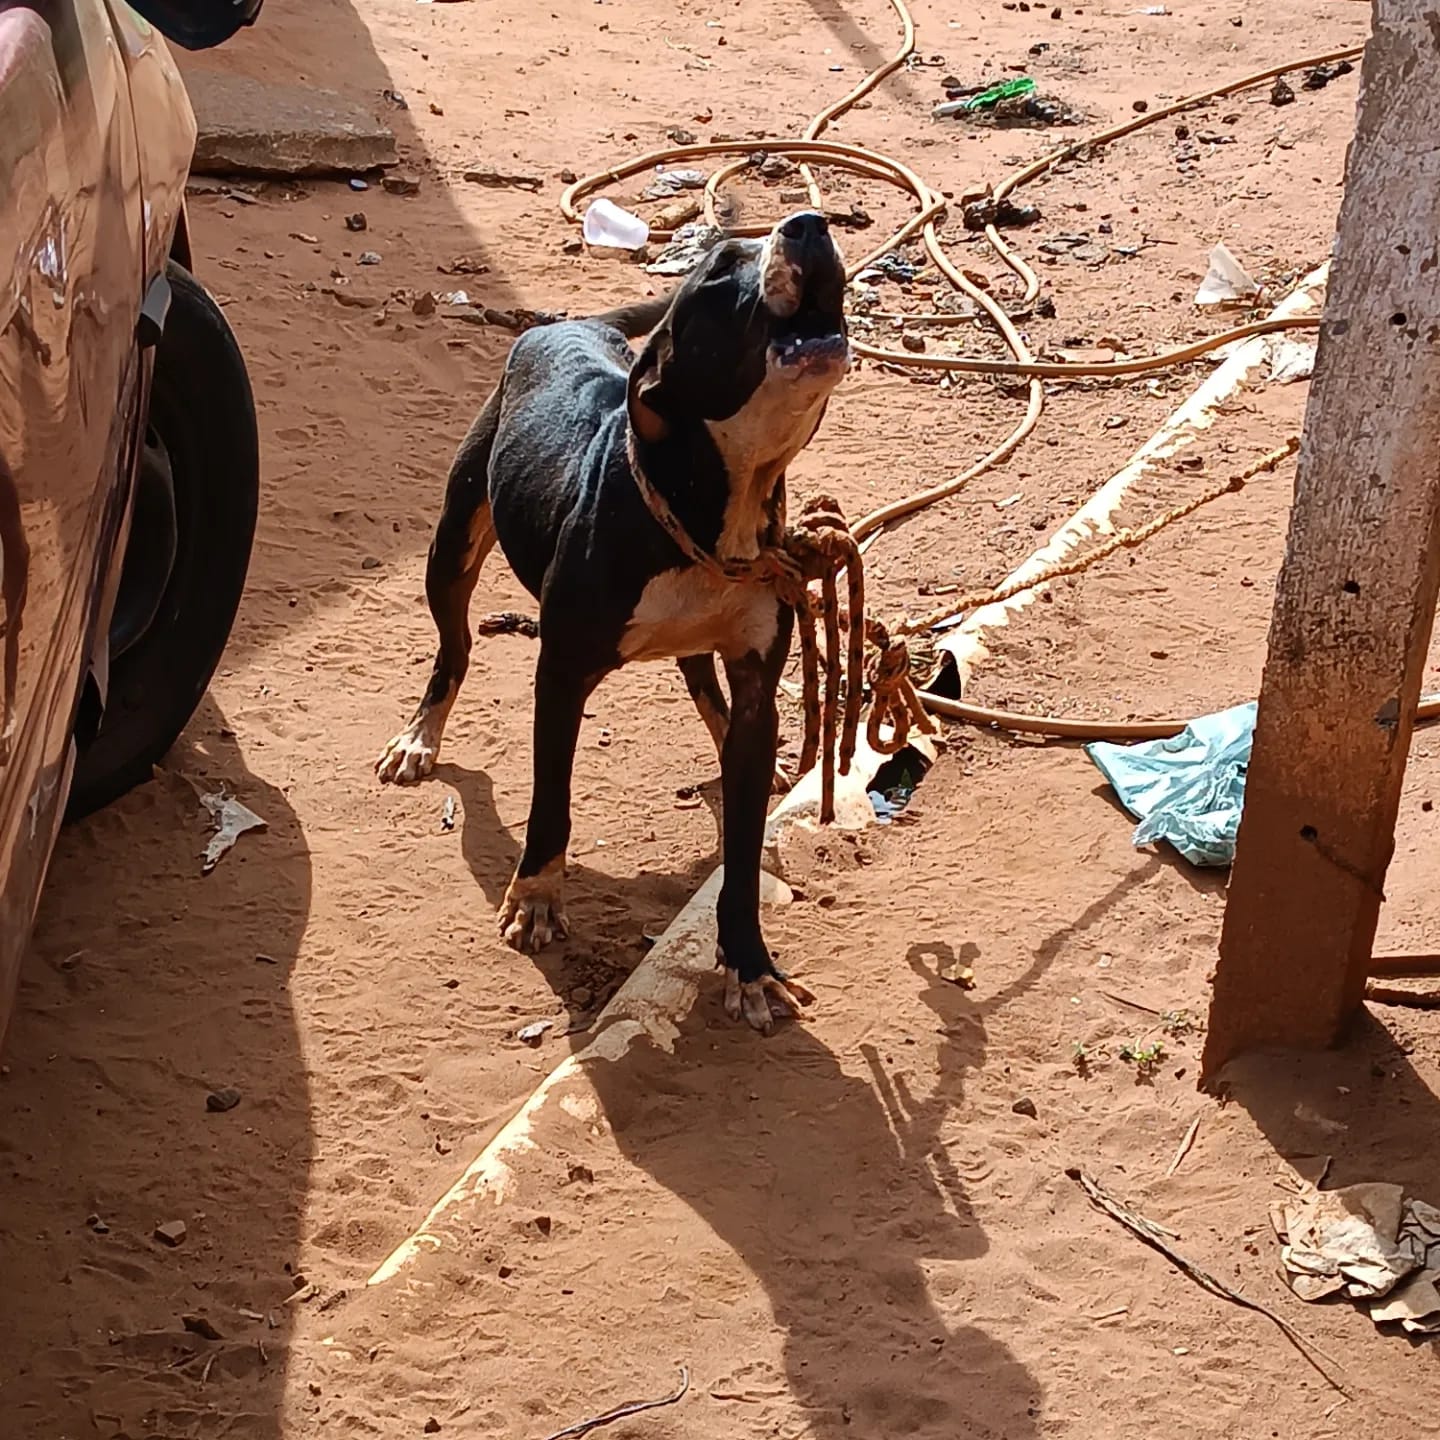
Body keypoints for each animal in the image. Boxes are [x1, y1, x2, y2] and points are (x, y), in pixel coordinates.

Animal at [383, 208, 846, 1031]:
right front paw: (535, 898)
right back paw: (420, 736)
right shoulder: (562, 674)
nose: (810, 223)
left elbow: (744, 834)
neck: (703, 513)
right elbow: (551, 803)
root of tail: (569, 325)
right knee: (455, 646)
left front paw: (750, 963)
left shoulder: (758, 676)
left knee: (703, 683)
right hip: (454, 539)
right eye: (719, 270)